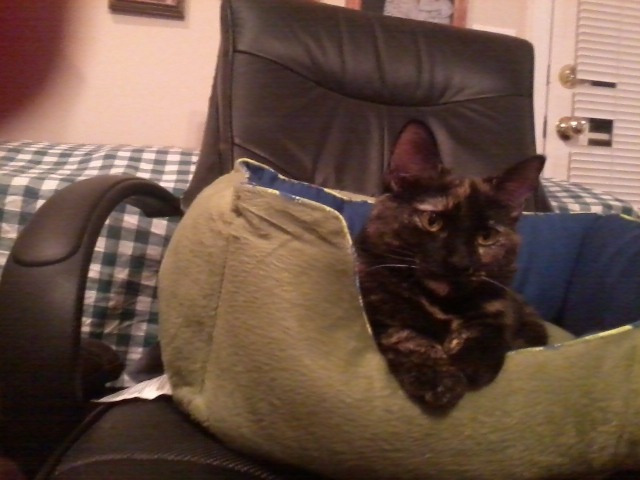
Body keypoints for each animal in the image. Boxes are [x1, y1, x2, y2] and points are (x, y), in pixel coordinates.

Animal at [355, 121, 549, 411]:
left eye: (486, 237)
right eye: (432, 221)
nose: (460, 262)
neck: (443, 303)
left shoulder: (502, 305)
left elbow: (489, 329)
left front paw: (473, 362)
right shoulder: (377, 310)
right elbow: (405, 336)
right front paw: (438, 379)